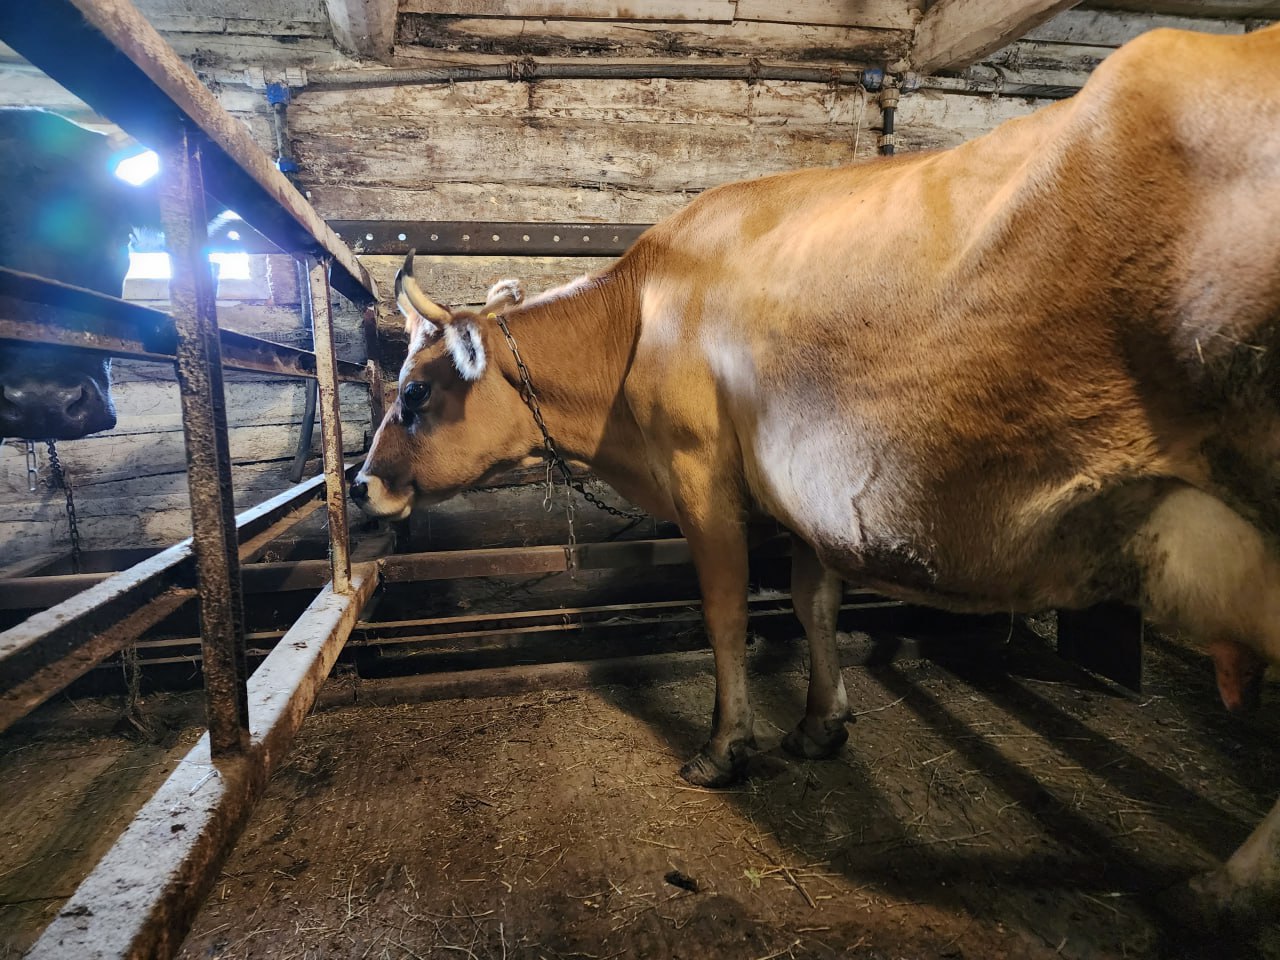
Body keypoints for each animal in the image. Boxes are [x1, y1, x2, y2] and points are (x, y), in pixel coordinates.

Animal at [355, 20, 1280, 911]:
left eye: (416, 393)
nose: (364, 484)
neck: (639, 317)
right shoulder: (806, 492)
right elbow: (815, 605)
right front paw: (820, 722)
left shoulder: (702, 477)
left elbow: (727, 613)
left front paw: (725, 745)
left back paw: (1226, 887)